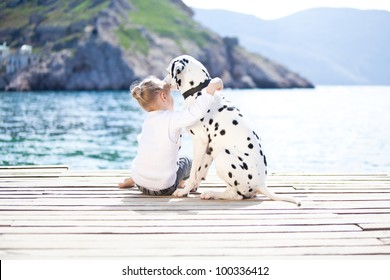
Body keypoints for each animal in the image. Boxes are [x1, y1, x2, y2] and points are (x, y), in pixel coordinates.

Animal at [163, 54, 300, 206]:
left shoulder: (199, 142)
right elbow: (200, 172)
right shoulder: (208, 149)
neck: (200, 91)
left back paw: (211, 193)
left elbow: (194, 173)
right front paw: (192, 188)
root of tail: (261, 184)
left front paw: (184, 191)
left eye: (168, 71)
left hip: (223, 157)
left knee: (235, 195)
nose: (164, 83)